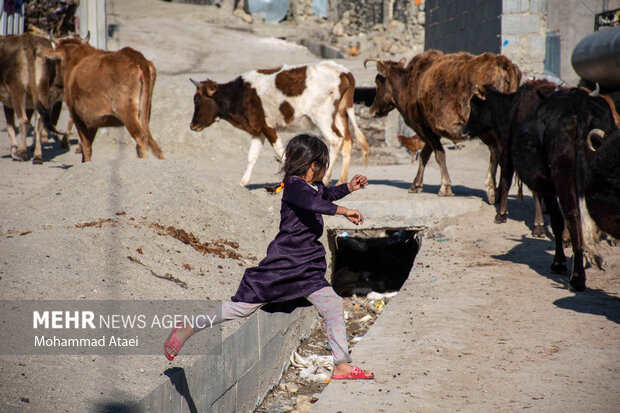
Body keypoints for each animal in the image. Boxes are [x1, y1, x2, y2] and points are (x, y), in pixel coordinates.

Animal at [0, 33, 64, 163]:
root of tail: (27, 38)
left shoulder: (7, 101)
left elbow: (10, 125)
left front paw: (14, 149)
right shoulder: (29, 103)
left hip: (17, 89)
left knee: (23, 120)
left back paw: (22, 153)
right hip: (42, 89)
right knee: (39, 121)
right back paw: (37, 156)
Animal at [37, 33, 165, 162]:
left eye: (56, 62)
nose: (54, 82)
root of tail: (135, 55)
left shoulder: (76, 114)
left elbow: (86, 146)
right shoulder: (94, 120)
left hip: (126, 111)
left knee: (141, 137)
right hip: (144, 112)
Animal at [189, 60, 368, 185]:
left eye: (197, 100)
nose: (192, 125)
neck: (240, 94)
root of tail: (341, 70)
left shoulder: (268, 127)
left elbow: (281, 153)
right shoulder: (258, 130)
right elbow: (252, 156)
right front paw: (243, 182)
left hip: (322, 116)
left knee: (336, 140)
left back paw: (325, 179)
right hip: (340, 114)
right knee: (347, 140)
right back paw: (342, 180)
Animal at [366, 50, 520, 202]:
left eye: (378, 82)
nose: (372, 110)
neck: (409, 84)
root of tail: (501, 61)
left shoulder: (424, 128)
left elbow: (439, 155)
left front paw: (445, 187)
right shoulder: (432, 131)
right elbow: (425, 155)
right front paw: (416, 185)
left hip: (486, 129)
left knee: (496, 151)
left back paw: (492, 190)